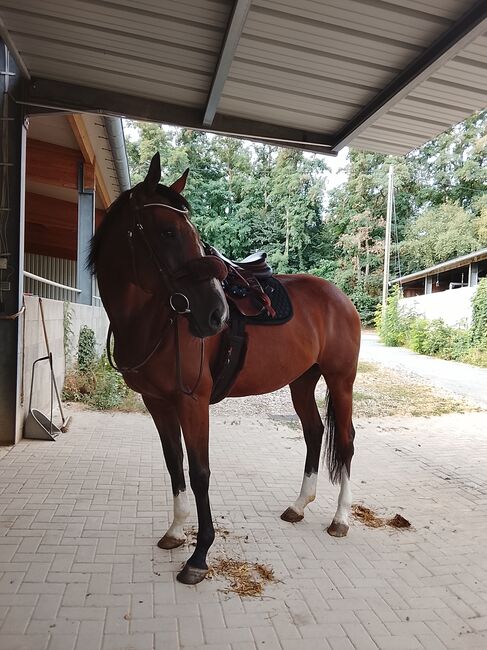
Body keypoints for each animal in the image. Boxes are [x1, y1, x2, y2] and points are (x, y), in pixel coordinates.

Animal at [89, 152, 361, 585]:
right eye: (167, 232)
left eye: (192, 232)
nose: (215, 314)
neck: (154, 320)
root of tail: (340, 297)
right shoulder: (156, 402)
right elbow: (174, 464)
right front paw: (175, 531)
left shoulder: (193, 402)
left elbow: (200, 471)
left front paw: (199, 556)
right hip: (302, 382)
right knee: (314, 432)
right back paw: (299, 505)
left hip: (340, 381)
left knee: (346, 441)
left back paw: (340, 519)